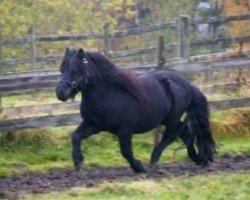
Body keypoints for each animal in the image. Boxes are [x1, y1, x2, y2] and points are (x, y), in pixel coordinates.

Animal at [55, 48, 216, 172]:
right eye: (61, 69)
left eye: (75, 70)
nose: (60, 92)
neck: (107, 95)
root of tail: (186, 84)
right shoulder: (94, 125)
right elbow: (75, 137)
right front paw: (78, 162)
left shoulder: (125, 129)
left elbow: (126, 151)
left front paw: (138, 166)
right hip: (167, 119)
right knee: (186, 134)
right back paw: (198, 159)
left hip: (173, 118)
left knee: (170, 136)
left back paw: (153, 161)